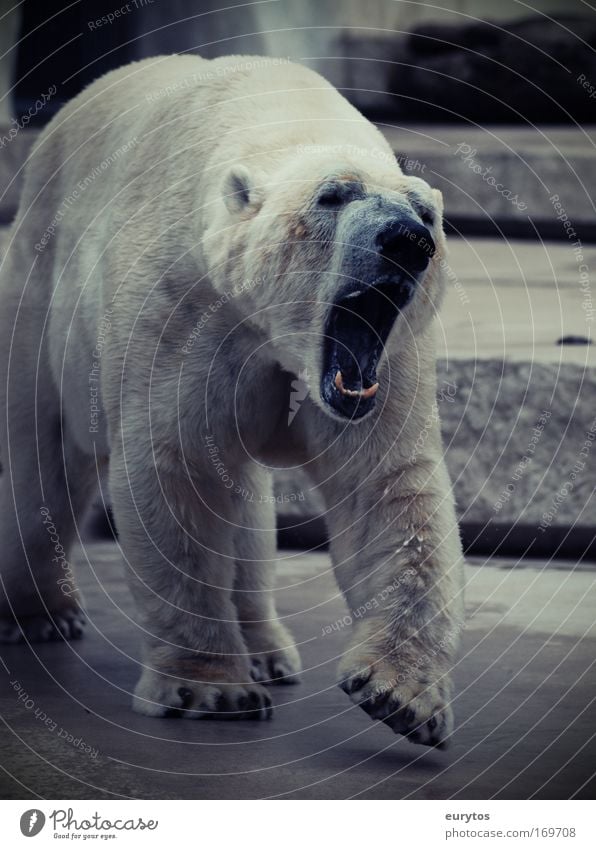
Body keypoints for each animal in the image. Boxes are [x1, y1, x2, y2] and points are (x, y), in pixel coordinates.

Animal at [0, 53, 464, 744]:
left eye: (424, 212)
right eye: (333, 195)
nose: (406, 240)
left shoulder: (386, 362)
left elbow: (386, 488)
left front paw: (401, 696)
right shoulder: (182, 310)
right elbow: (180, 473)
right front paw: (211, 689)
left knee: (246, 504)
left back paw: (269, 651)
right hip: (37, 299)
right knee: (40, 465)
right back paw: (38, 613)